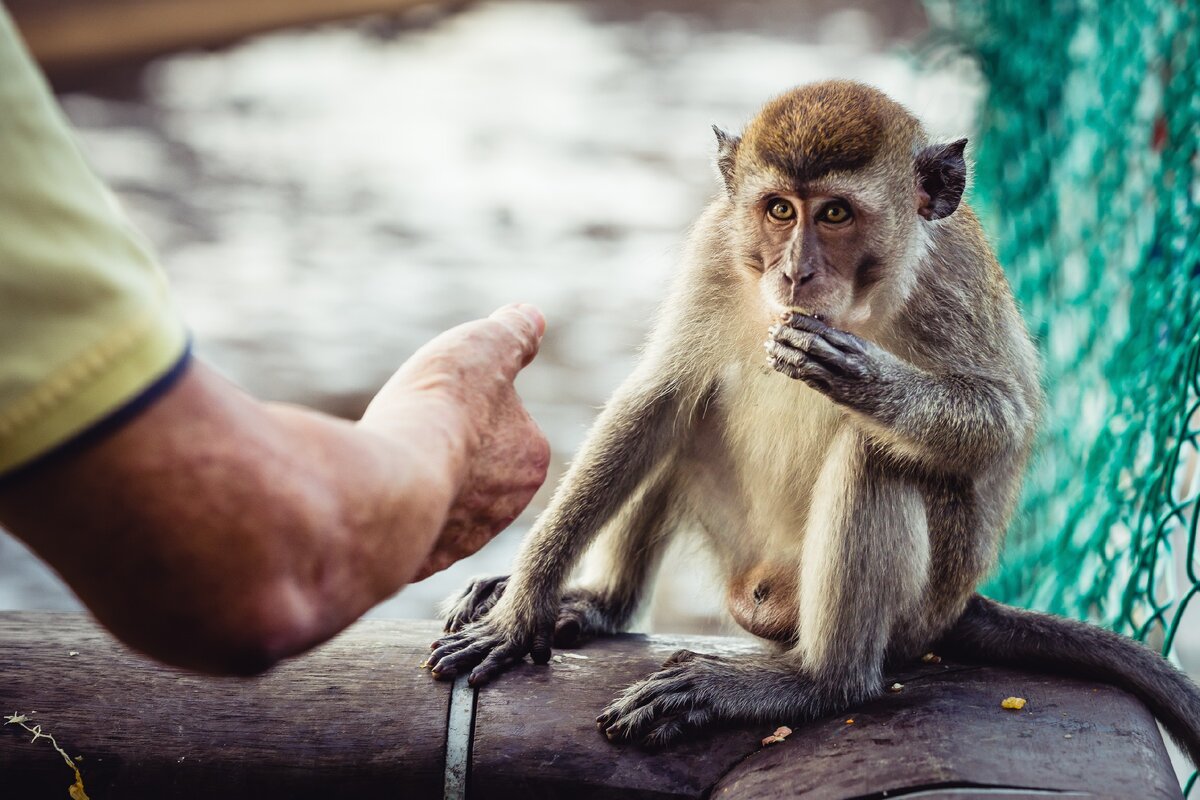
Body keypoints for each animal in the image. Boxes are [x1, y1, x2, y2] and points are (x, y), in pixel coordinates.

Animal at [420, 81, 1200, 762]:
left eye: (834, 214)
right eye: (778, 210)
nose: (794, 272)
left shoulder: (952, 283)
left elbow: (1001, 422)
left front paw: (864, 379)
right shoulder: (716, 248)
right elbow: (659, 397)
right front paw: (522, 609)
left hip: (918, 605)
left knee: (876, 458)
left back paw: (815, 682)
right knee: (688, 413)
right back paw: (598, 603)